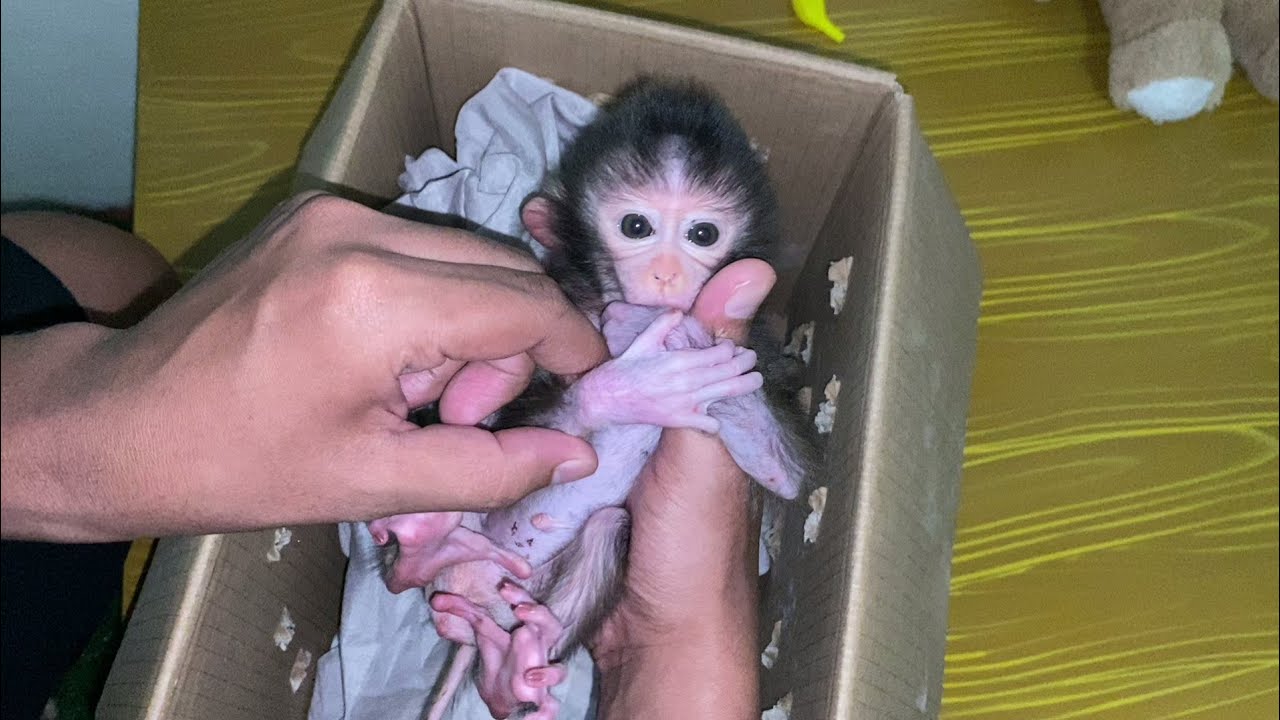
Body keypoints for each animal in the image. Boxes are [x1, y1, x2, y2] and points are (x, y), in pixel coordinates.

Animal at [367, 76, 817, 720]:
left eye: (702, 234)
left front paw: (682, 339)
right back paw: (424, 540)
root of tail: (470, 589)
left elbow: (788, 474)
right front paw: (629, 385)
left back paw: (507, 670)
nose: (664, 276)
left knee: (606, 532)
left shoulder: (758, 347)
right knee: (407, 554)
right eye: (636, 227)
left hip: (535, 583)